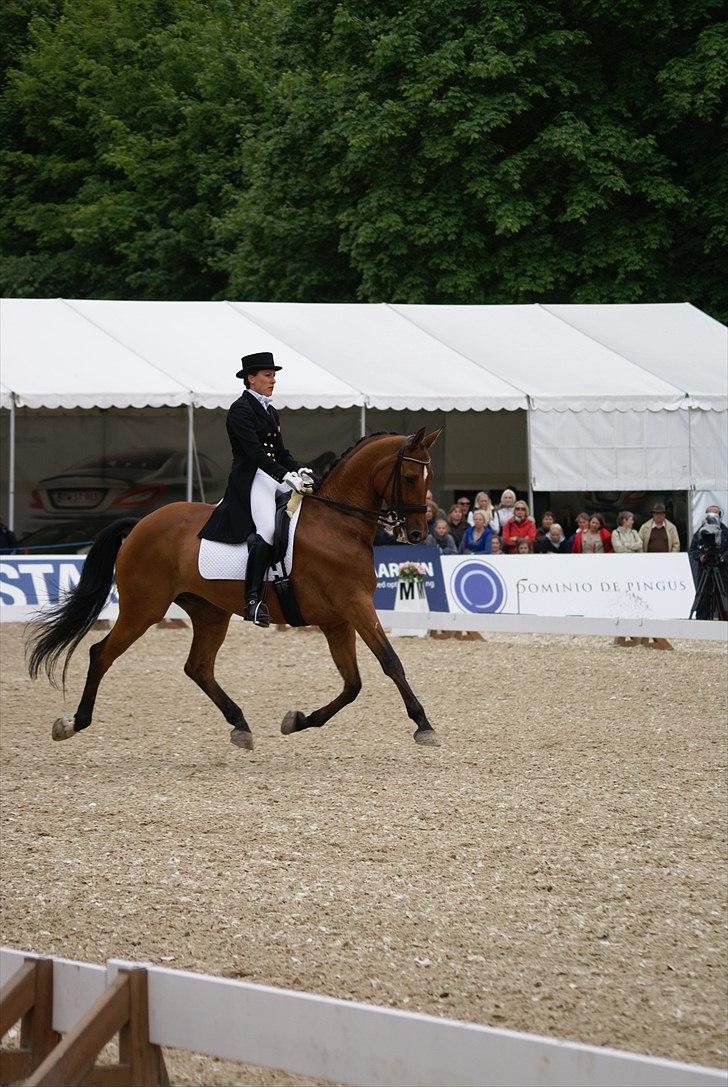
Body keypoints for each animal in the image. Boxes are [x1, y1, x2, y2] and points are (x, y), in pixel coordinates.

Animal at [28, 428, 445, 752]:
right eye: (411, 477)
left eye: (429, 478)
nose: (416, 534)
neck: (337, 523)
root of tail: (142, 522)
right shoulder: (355, 605)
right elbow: (390, 662)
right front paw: (424, 725)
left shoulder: (337, 621)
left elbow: (352, 684)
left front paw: (297, 720)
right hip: (143, 608)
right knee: (101, 654)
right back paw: (73, 723)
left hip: (209, 612)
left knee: (198, 667)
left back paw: (241, 725)